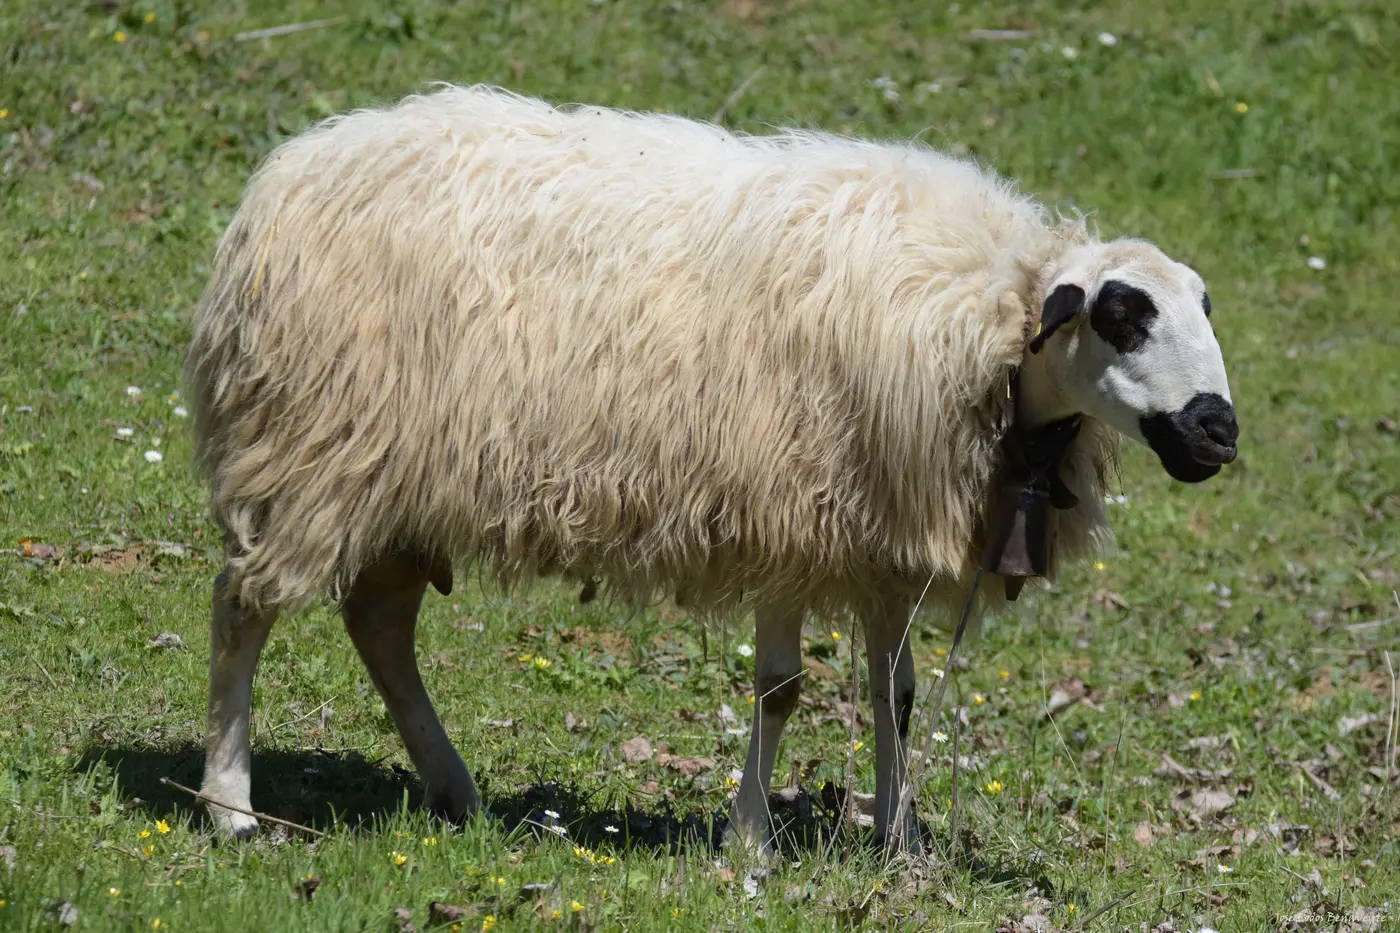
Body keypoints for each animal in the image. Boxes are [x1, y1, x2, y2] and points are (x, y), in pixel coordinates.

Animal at [184, 84, 1238, 851]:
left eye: (1203, 305)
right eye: (1121, 312)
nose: (1218, 430)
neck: (982, 316)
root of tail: (288, 173)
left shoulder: (881, 537)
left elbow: (893, 693)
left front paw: (902, 842)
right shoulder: (789, 508)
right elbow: (781, 688)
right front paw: (751, 840)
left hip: (396, 474)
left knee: (379, 622)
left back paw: (454, 790)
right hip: (310, 446)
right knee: (244, 610)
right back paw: (232, 807)